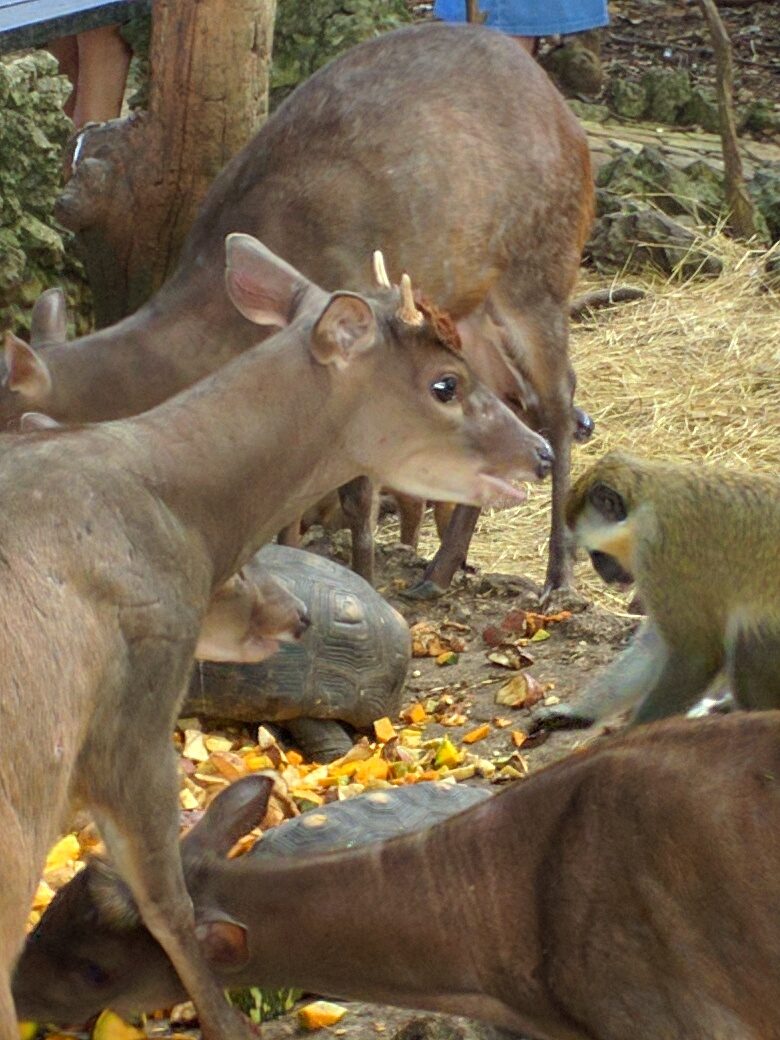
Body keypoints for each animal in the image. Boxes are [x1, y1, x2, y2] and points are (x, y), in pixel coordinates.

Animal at [536, 450, 780, 728]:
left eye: (595, 552)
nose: (601, 571)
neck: (647, 503)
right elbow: (655, 645)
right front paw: (575, 712)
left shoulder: (660, 550)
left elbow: (696, 654)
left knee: (748, 634)